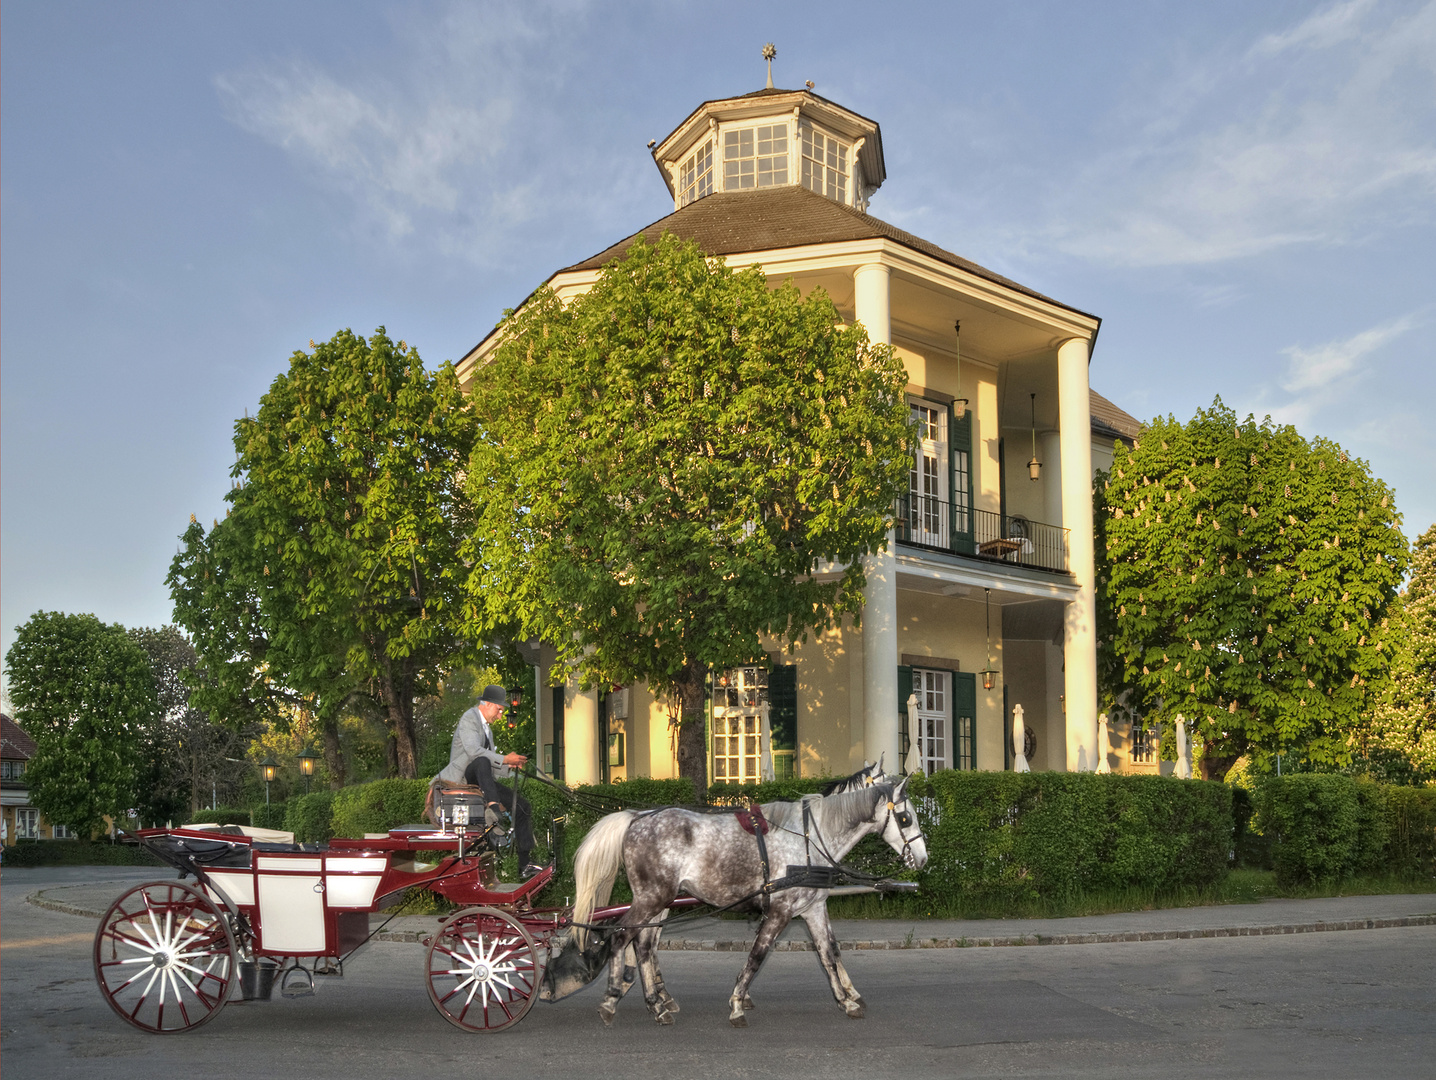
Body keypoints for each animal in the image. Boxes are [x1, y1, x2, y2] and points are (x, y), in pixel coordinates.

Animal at [565, 781, 924, 1022]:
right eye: (906, 818)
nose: (922, 858)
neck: (810, 840)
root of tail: (638, 817)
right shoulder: (780, 911)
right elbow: (757, 955)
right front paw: (738, 1002)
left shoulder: (813, 909)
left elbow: (829, 954)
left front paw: (847, 1000)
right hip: (651, 898)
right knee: (621, 937)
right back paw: (615, 1000)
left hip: (658, 901)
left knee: (643, 945)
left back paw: (657, 1001)